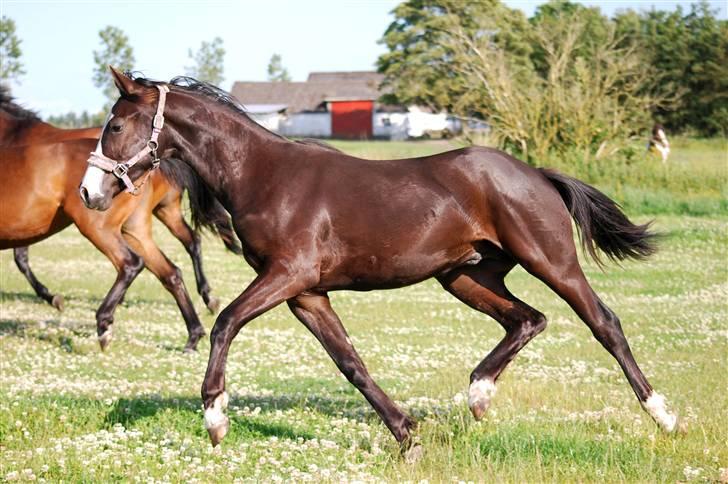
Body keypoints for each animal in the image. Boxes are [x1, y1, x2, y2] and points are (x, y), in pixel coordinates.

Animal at [0, 87, 242, 316]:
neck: (13, 135)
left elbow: (21, 259)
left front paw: (52, 297)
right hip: (164, 210)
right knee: (190, 241)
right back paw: (208, 298)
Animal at [81, 68, 684, 454]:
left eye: (115, 126)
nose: (89, 193)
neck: (263, 174)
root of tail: (536, 173)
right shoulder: (306, 293)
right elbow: (350, 362)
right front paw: (407, 435)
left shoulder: (288, 275)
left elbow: (225, 320)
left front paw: (215, 419)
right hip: (464, 276)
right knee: (528, 320)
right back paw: (479, 395)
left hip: (550, 261)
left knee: (603, 322)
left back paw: (665, 417)